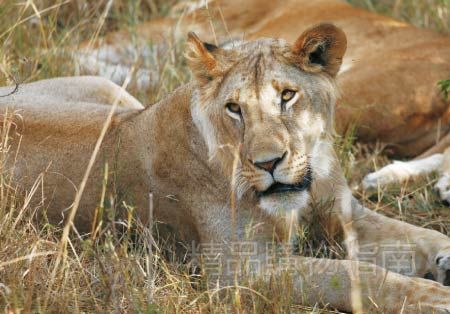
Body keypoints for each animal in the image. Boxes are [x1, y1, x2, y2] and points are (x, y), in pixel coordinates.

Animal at [2, 23, 450, 312]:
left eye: (287, 96)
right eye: (234, 108)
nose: (268, 163)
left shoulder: (349, 218)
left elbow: (422, 236)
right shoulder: (240, 272)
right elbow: (359, 275)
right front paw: (436, 298)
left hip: (110, 91)